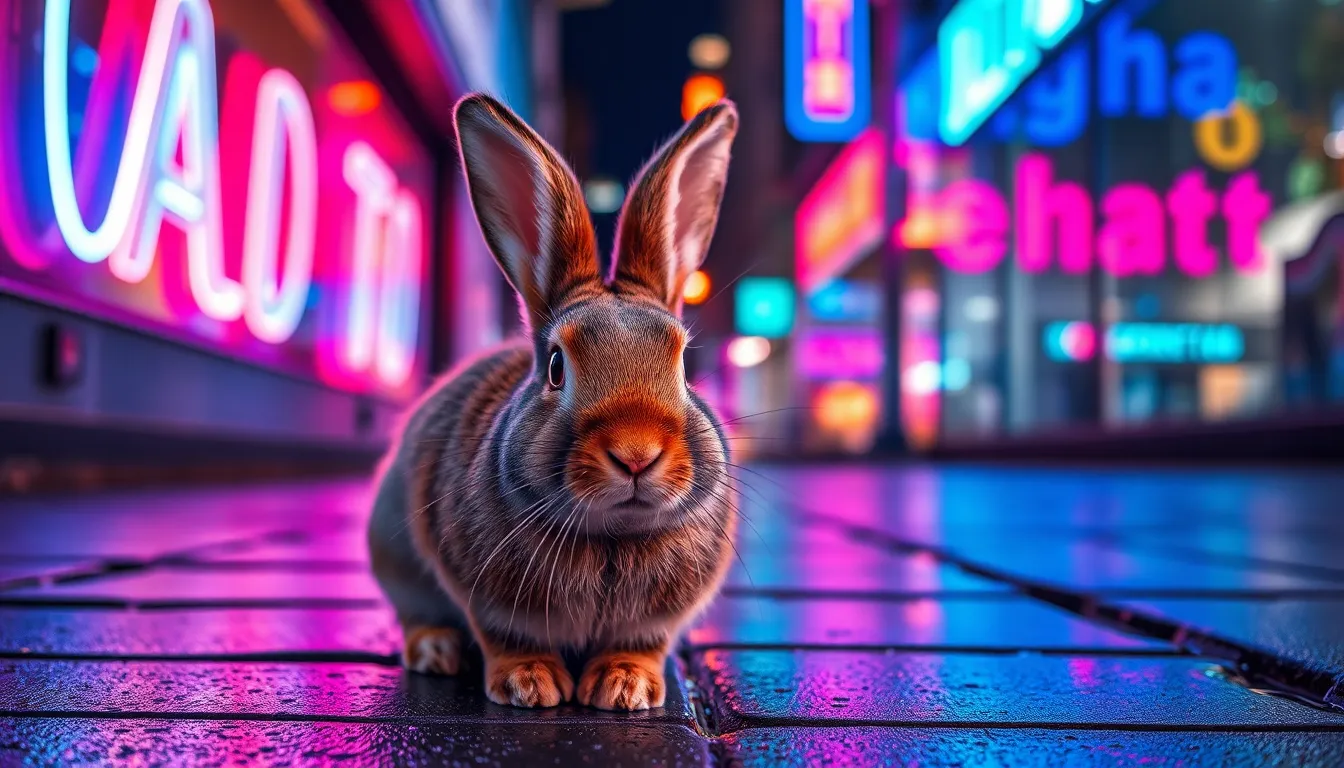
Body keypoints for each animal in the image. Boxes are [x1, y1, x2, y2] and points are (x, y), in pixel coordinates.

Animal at [367, 93, 740, 711]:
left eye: (684, 365)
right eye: (556, 368)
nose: (635, 454)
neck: (613, 534)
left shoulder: (656, 623)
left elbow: (641, 644)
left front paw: (625, 687)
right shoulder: (483, 595)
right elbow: (506, 636)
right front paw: (531, 684)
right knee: (415, 615)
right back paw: (437, 651)